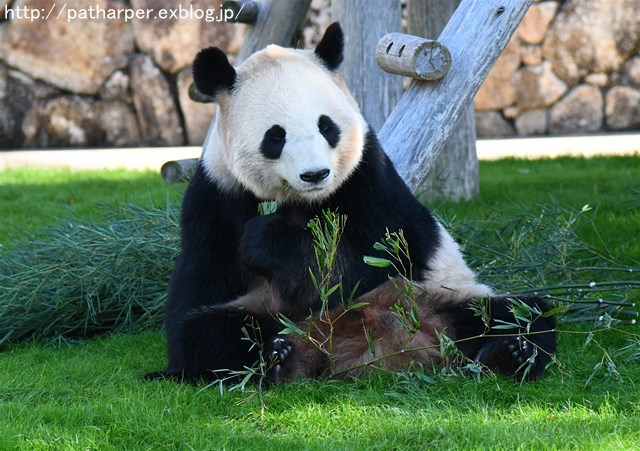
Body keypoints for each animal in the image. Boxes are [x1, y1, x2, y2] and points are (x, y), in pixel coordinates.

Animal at [145, 23, 556, 384]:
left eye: (326, 126)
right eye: (275, 136)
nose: (315, 174)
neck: (302, 201)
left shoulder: (369, 177)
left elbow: (382, 256)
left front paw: (269, 240)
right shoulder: (219, 193)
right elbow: (203, 281)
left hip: (441, 294)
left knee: (518, 314)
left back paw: (509, 354)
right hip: (268, 311)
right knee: (218, 330)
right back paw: (280, 359)